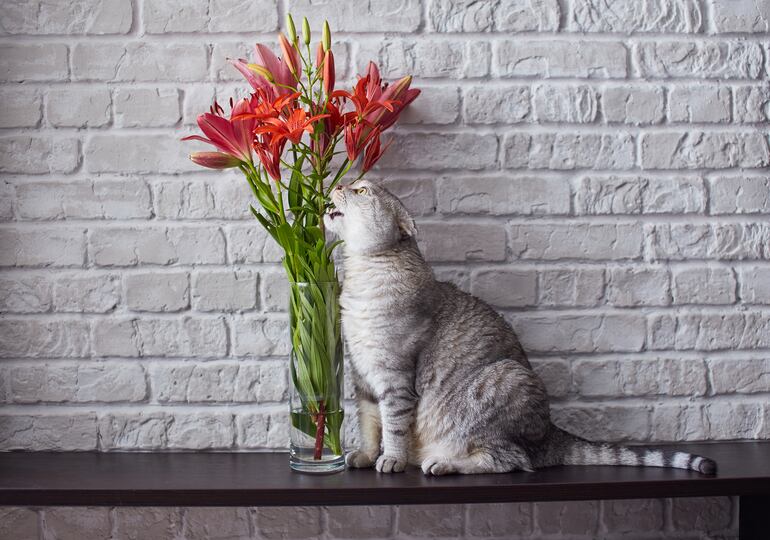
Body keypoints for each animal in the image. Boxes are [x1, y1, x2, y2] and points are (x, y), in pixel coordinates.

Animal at [320, 180, 716, 476]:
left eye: (361, 190)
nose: (337, 184)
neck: (361, 273)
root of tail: (551, 434)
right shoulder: (362, 377)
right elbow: (370, 423)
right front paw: (366, 454)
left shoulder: (396, 377)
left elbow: (394, 425)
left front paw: (392, 459)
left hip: (505, 380)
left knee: (512, 460)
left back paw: (443, 463)